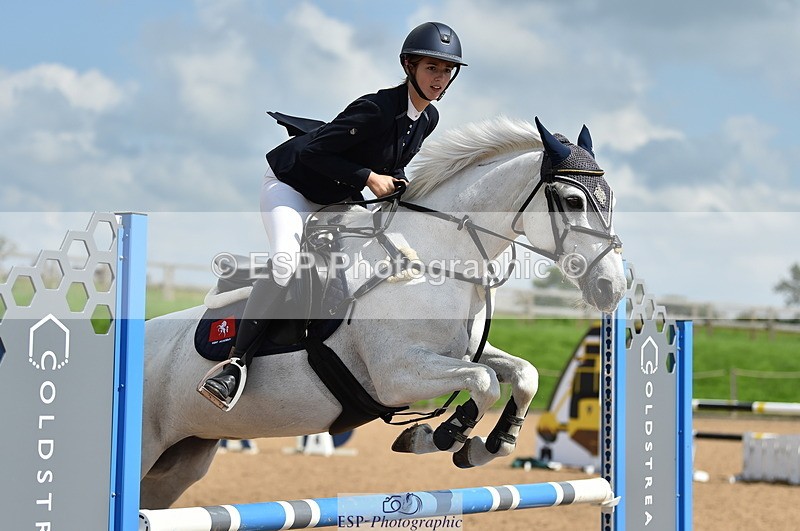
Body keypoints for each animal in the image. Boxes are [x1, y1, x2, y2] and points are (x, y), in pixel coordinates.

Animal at [139, 116, 626, 509]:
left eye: (612, 199)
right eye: (573, 200)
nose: (613, 289)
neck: (434, 260)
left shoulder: (457, 353)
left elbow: (523, 375)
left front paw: (486, 445)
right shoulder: (396, 375)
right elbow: (485, 382)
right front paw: (440, 435)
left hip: (179, 464)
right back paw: (225, 379)